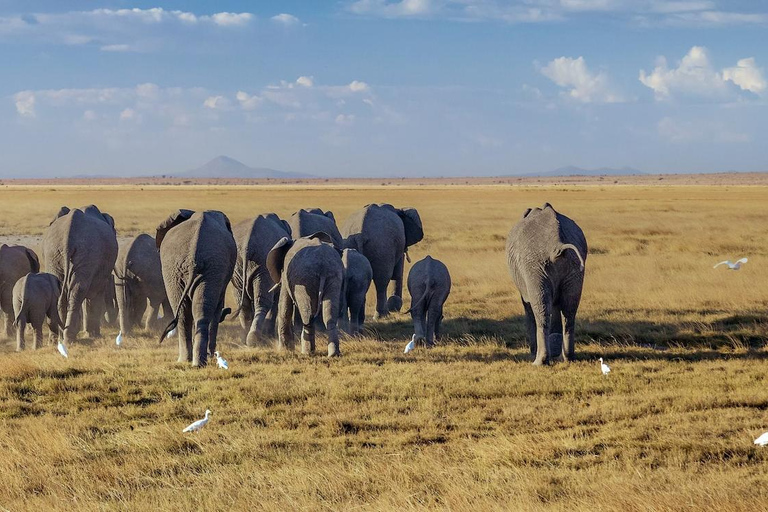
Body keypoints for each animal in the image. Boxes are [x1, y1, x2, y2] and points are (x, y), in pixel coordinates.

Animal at [43, 205, 118, 344]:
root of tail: (68, 236)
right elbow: (96, 292)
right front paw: (94, 335)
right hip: (88, 251)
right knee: (78, 289)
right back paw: (69, 338)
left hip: (53, 253)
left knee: (62, 290)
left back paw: (57, 339)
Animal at [157, 209, 237, 368]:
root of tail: (193, 255)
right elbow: (217, 307)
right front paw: (212, 355)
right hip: (209, 268)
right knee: (199, 310)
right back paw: (197, 362)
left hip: (178, 269)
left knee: (185, 311)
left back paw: (189, 361)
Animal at [231, 214, 292, 346]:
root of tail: (246, 245)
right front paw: (269, 336)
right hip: (263, 263)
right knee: (263, 301)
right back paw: (253, 339)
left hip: (238, 265)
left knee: (243, 303)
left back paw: (245, 339)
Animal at [504, 202, 588, 366]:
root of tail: (557, 244)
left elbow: (528, 305)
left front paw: (533, 353)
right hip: (574, 266)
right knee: (570, 311)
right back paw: (568, 358)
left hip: (534, 266)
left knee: (540, 310)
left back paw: (538, 362)